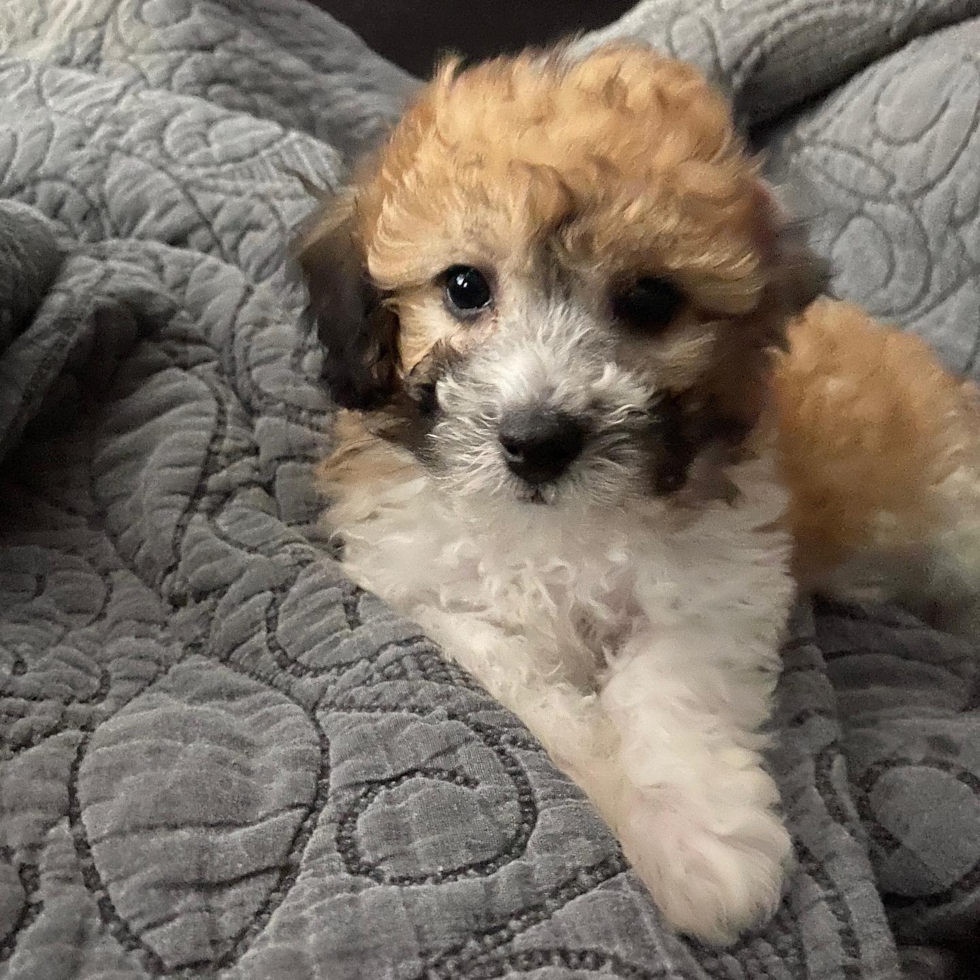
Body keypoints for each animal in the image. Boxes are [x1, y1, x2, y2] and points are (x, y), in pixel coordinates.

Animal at [292, 47, 980, 948]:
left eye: (649, 301)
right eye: (465, 286)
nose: (538, 440)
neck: (553, 526)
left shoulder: (713, 580)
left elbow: (668, 688)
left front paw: (698, 840)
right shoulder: (421, 584)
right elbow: (532, 688)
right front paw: (658, 822)